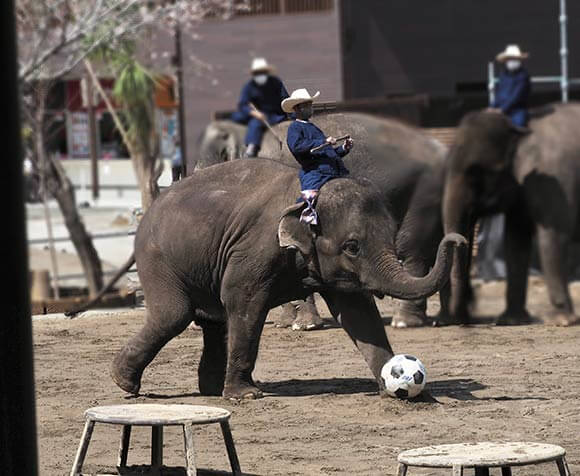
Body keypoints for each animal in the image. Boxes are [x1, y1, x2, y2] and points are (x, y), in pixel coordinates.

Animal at [112, 158, 466, 400]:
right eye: (352, 246)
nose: (458, 239)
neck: (307, 197)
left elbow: (359, 314)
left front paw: (401, 392)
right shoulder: (255, 250)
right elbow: (242, 302)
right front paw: (246, 396)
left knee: (212, 322)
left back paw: (210, 391)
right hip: (158, 259)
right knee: (174, 315)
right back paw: (125, 383)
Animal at [195, 112, 448, 328]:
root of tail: (440, 150)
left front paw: (304, 325)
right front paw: (286, 323)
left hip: (424, 191)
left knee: (412, 249)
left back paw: (404, 322)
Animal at [444, 103, 580, 328]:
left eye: (476, 173)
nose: (465, 317)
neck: (520, 128)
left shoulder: (555, 180)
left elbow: (552, 236)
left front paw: (561, 320)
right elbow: (515, 240)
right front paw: (511, 319)